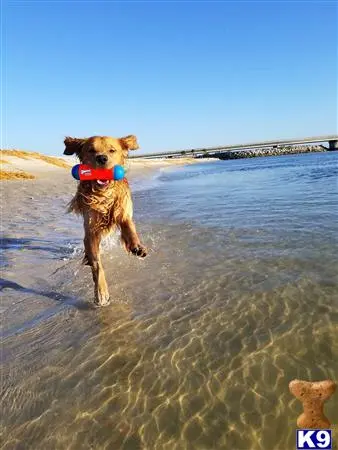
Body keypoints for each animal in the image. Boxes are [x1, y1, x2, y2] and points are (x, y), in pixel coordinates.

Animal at [64, 135, 147, 308]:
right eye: (91, 150)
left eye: (112, 150)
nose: (102, 158)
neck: (103, 195)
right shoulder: (91, 229)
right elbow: (97, 264)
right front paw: (101, 293)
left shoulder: (123, 213)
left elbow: (130, 229)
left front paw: (137, 247)